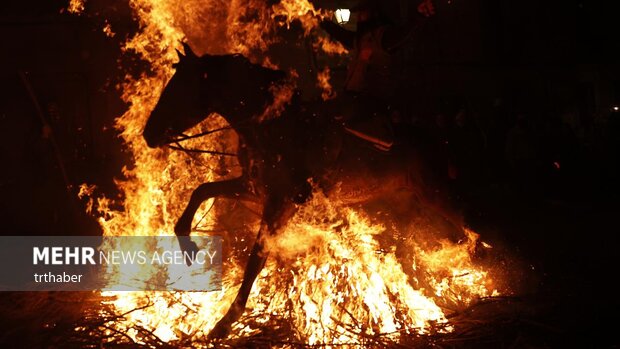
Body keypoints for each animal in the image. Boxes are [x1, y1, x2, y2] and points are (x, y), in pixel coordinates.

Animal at [142, 42, 460, 338]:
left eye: (180, 88)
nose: (148, 134)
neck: (273, 126)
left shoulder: (280, 202)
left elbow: (255, 259)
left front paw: (225, 322)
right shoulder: (254, 188)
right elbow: (202, 190)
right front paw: (187, 246)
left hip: (438, 195)